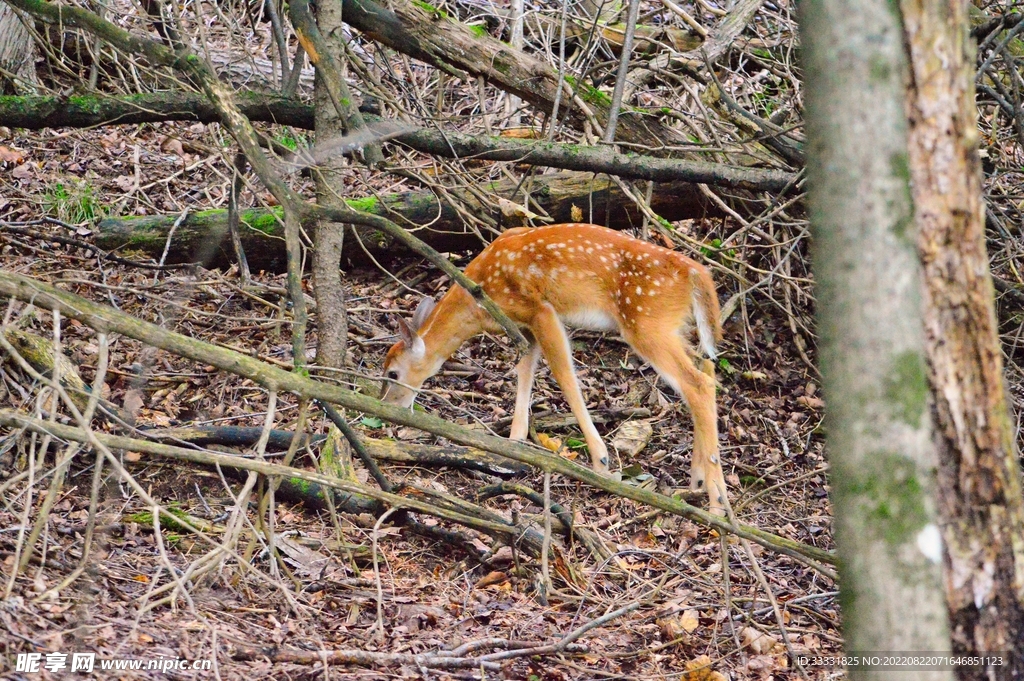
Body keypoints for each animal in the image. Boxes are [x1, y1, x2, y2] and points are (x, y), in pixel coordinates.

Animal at [380, 223, 727, 514]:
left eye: (392, 374)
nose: (387, 408)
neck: (478, 298)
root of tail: (695, 272)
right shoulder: (526, 326)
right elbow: (524, 371)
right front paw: (514, 443)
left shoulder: (541, 309)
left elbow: (564, 375)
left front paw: (601, 461)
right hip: (673, 325)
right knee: (705, 367)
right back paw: (697, 481)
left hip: (646, 322)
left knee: (698, 382)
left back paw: (716, 502)